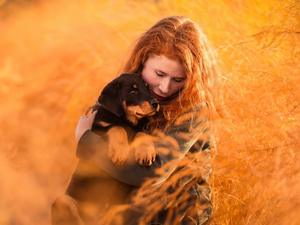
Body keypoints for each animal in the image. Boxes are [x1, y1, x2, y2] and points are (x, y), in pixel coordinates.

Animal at [51, 73, 159, 225]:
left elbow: (142, 134)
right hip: (63, 201)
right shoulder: (99, 128)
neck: (128, 121)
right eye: (133, 91)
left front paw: (146, 153)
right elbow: (117, 127)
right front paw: (120, 152)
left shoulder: (142, 128)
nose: (156, 103)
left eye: (147, 87)